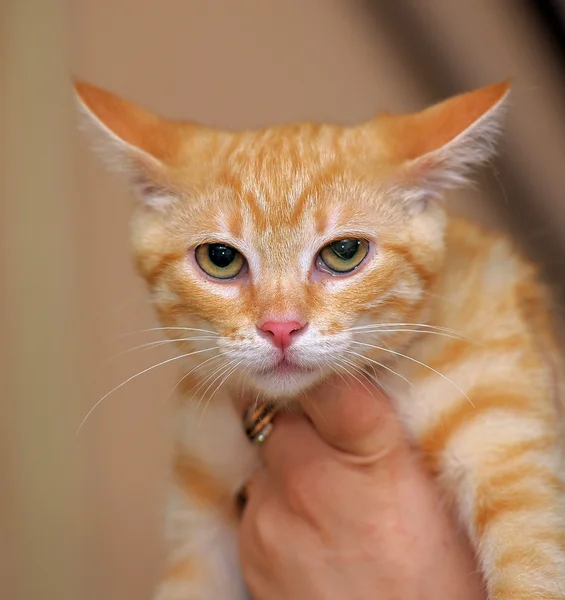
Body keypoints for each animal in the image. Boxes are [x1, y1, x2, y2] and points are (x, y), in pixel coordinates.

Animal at [76, 81, 564, 600]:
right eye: (220, 258)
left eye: (345, 252)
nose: (281, 327)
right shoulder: (201, 505)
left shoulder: (504, 439)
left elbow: (534, 567)